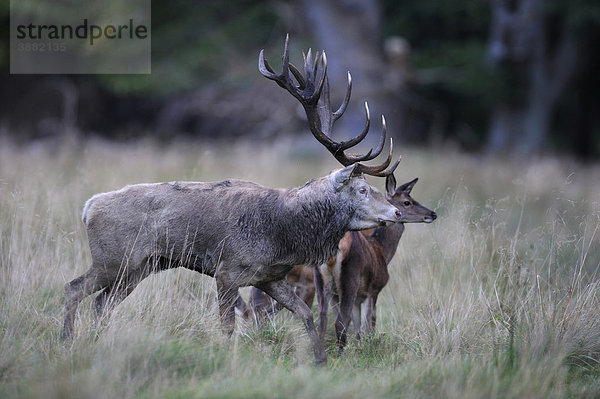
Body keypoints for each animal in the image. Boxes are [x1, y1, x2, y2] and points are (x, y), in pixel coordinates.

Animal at [63, 36, 400, 366]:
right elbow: (227, 326)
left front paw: (320, 359)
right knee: (74, 288)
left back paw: (96, 343)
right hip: (113, 258)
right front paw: (226, 358)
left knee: (101, 303)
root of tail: (88, 207)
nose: (396, 211)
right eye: (362, 190)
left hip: (139, 267)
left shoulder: (269, 277)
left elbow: (304, 313)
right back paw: (67, 341)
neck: (283, 234)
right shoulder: (227, 270)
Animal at [314, 174, 436, 350]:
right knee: (340, 322)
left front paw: (359, 348)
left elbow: (358, 329)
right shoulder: (374, 289)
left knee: (321, 323)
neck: (382, 249)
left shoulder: (357, 297)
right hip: (349, 280)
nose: (432, 214)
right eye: (407, 202)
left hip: (322, 283)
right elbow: (369, 325)